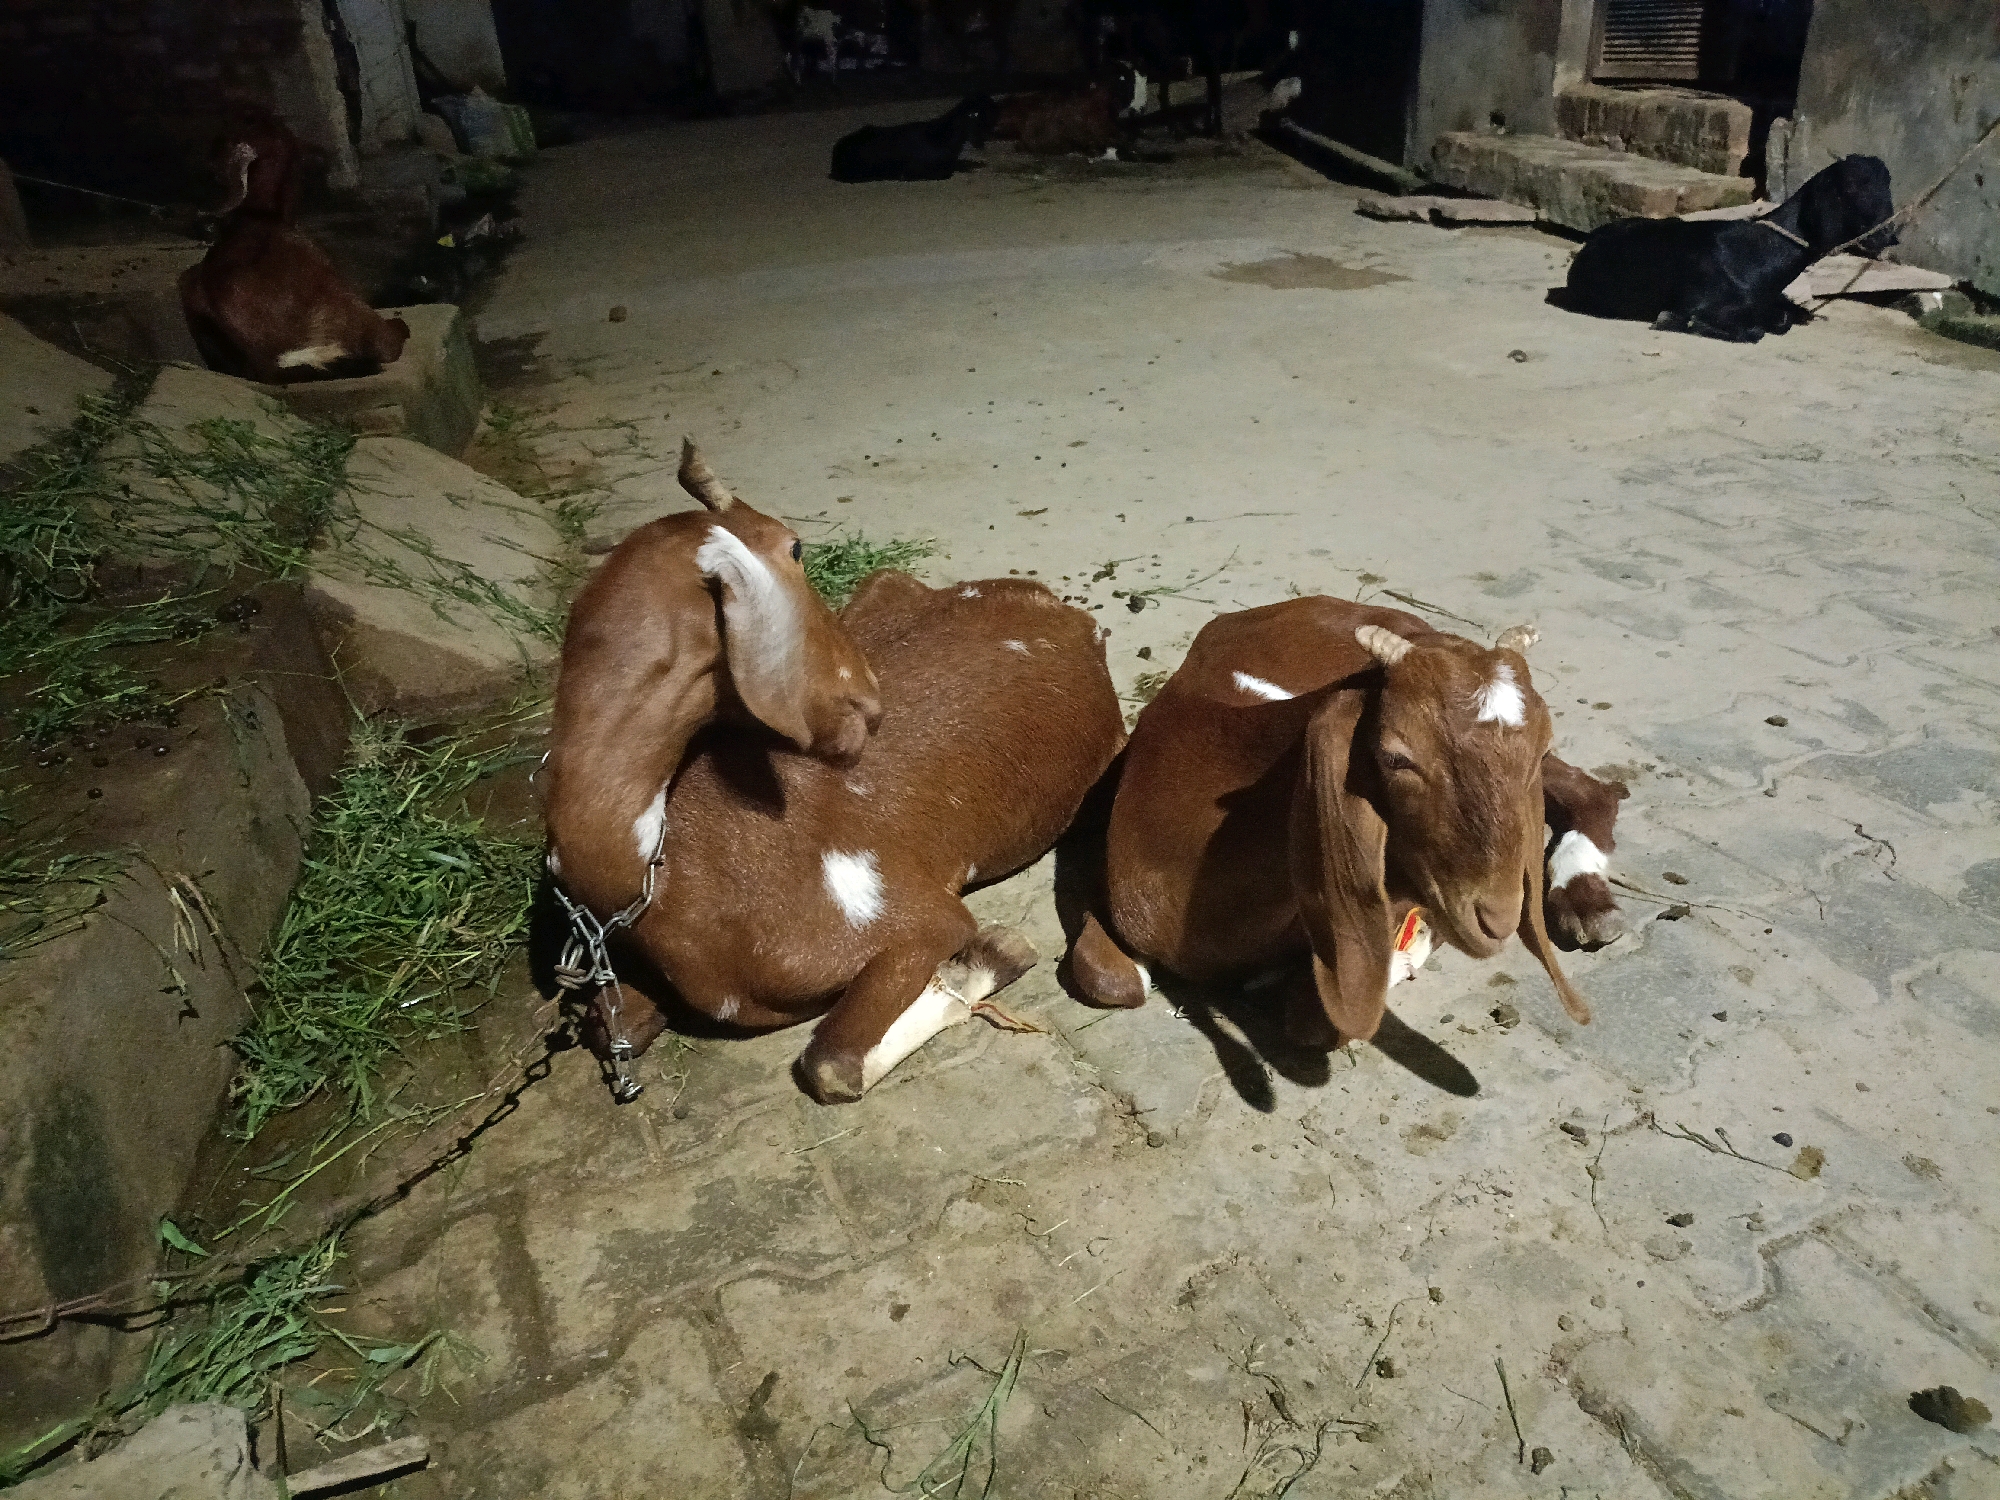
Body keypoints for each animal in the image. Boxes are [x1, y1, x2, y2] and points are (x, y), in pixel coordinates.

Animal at [541, 441, 1124, 1103]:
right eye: (796, 548)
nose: (869, 698)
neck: (678, 881)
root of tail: (1065, 614)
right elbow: (606, 1029)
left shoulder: (914, 917)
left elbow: (831, 1065)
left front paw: (995, 953)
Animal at [1064, 597, 1624, 1046]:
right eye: (1396, 758)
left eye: (1537, 746)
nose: (1499, 918)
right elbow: (1110, 977)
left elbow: (1315, 1018)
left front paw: (1406, 953)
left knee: (1593, 789)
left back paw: (1586, 898)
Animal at [1561, 154, 1895, 343]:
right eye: (1850, 187)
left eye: (1888, 186)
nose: (1888, 237)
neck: (1754, 256)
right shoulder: (1698, 304)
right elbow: (1754, 331)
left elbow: (1782, 319)